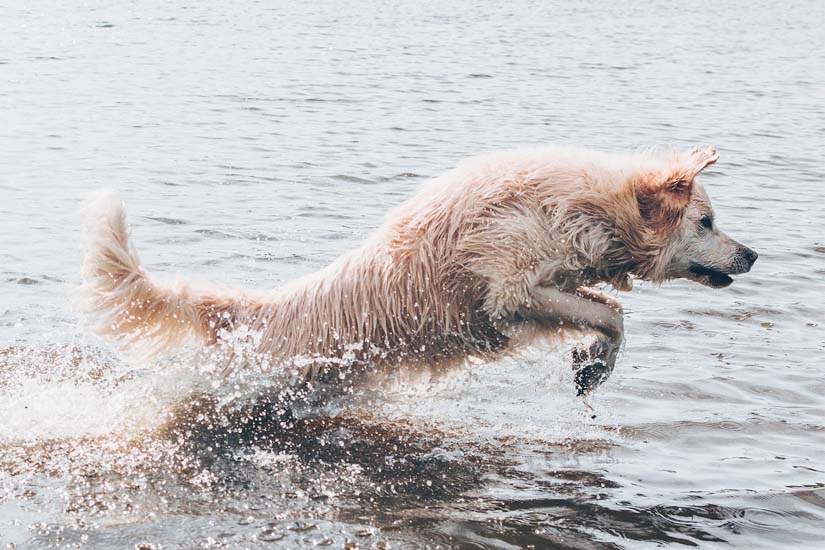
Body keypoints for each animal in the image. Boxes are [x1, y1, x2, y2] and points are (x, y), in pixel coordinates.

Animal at [80, 147, 756, 396]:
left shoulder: (548, 284)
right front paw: (595, 361)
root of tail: (262, 312)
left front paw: (593, 364)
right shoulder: (510, 288)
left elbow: (610, 309)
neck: (584, 206)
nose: (752, 254)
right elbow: (610, 314)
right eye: (707, 222)